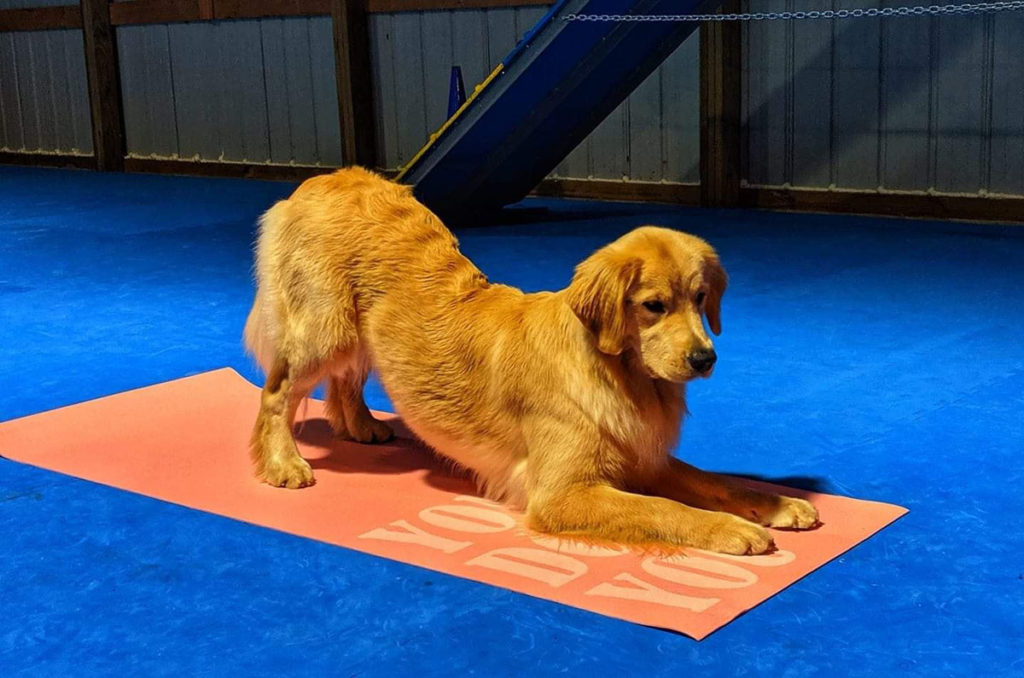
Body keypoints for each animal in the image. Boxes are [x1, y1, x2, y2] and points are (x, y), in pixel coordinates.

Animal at [241, 166, 815, 557]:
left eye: (701, 298)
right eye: (654, 305)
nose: (704, 357)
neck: (618, 373)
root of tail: (326, 178)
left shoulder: (644, 458)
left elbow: (716, 482)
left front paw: (779, 503)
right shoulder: (562, 494)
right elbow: (663, 508)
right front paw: (731, 529)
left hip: (355, 334)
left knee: (345, 381)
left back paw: (361, 427)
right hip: (325, 331)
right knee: (277, 394)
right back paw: (283, 463)